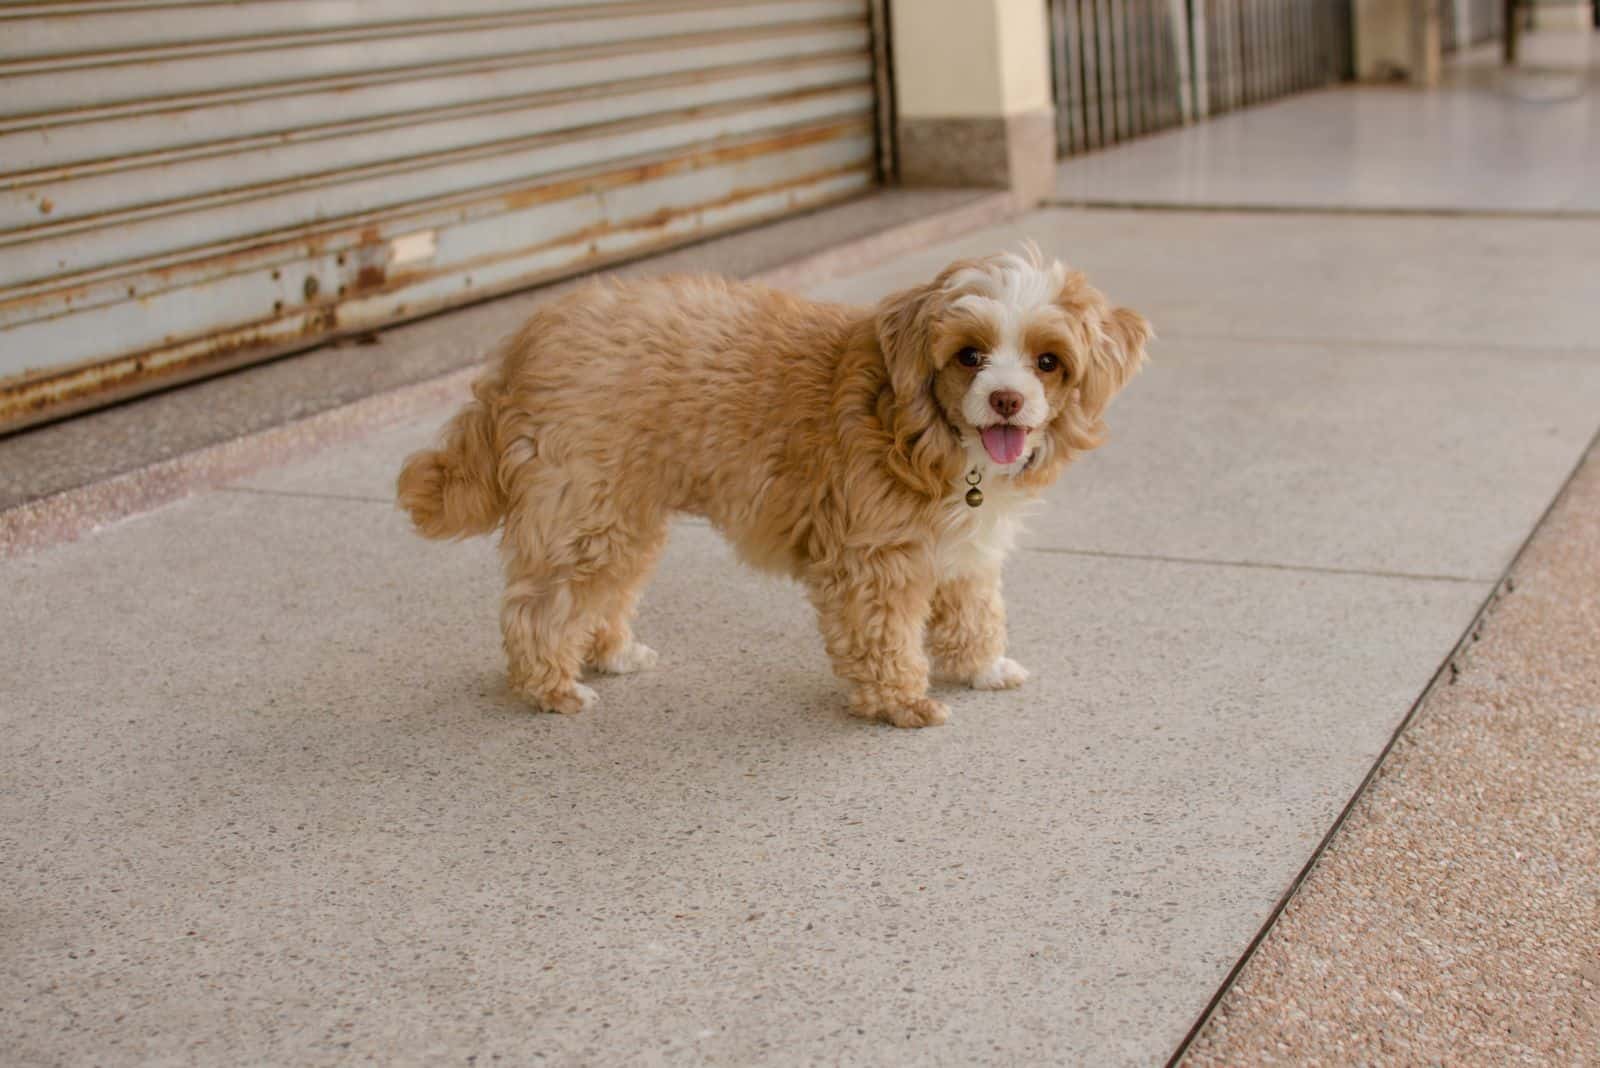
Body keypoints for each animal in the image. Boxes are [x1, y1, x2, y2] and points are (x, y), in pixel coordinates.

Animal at [398, 247, 1152, 725]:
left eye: (1048, 361)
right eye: (970, 355)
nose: (1005, 400)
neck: (923, 427)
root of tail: (527, 338)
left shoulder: (963, 551)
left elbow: (974, 611)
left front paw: (981, 668)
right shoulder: (873, 559)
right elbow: (884, 635)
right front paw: (901, 704)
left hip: (620, 514)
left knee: (600, 593)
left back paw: (609, 654)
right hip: (584, 510)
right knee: (540, 606)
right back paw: (550, 687)